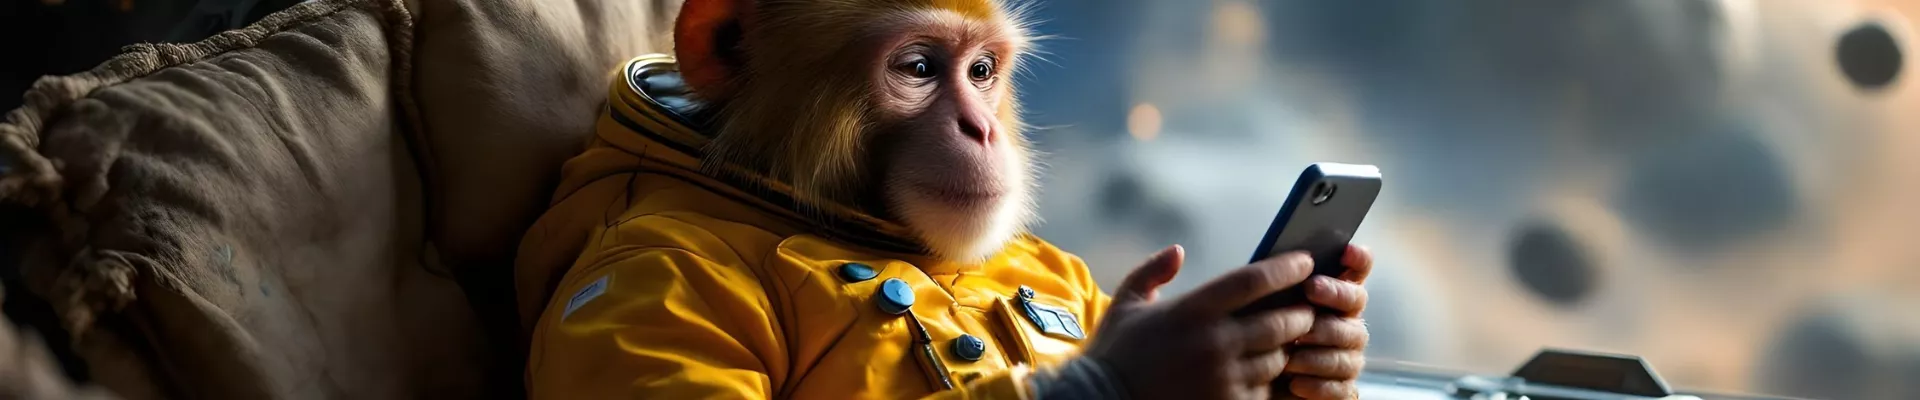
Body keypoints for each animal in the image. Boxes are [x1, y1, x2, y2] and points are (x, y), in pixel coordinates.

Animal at [513, 0, 1376, 399]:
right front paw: (1162, 359)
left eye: (983, 73)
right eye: (920, 68)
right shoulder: (649, 267)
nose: (980, 128)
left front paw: (1332, 344)